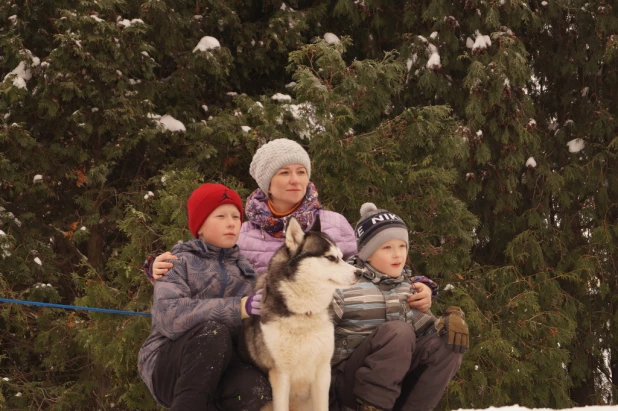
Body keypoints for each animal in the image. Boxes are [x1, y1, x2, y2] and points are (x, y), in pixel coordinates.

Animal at [242, 217, 360, 410]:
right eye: (330, 257)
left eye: (342, 257)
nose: (360, 272)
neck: (305, 313)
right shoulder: (280, 375)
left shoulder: (323, 372)